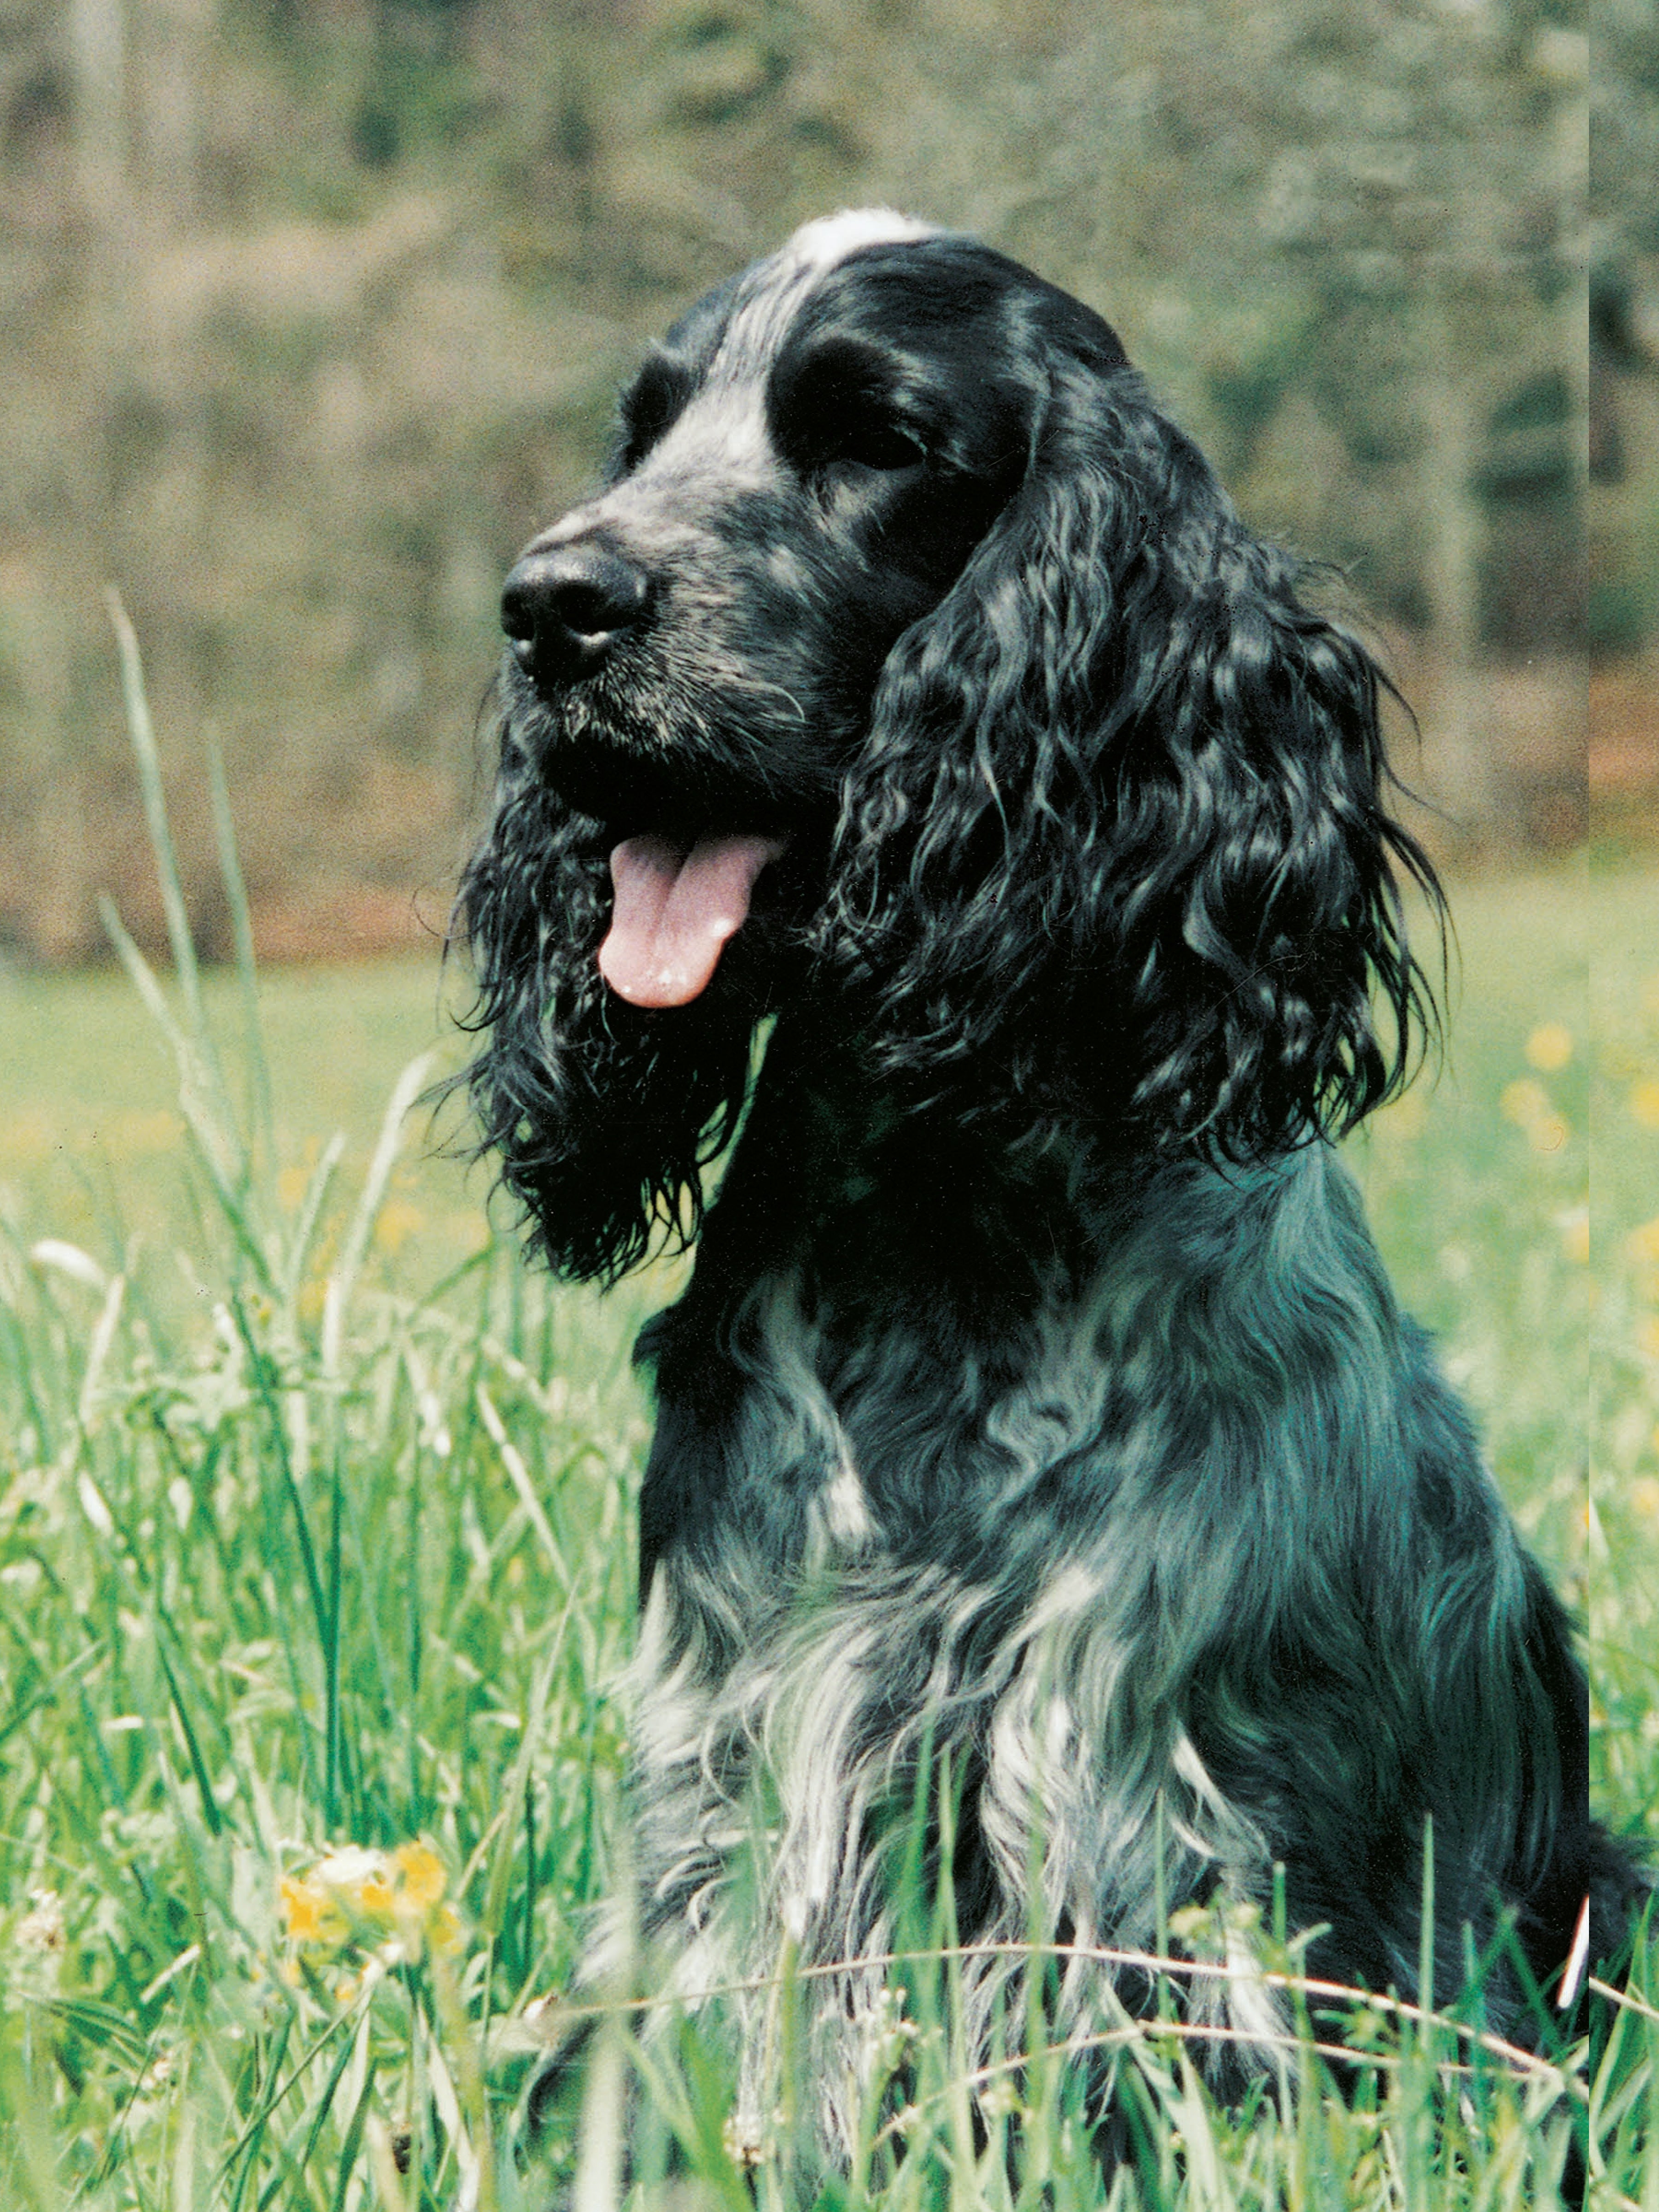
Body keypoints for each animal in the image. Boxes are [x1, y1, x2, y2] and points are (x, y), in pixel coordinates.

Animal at [451, 208, 1636, 2177]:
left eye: (876, 439)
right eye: (641, 434)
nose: (550, 603)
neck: (940, 1222)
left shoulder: (1125, 1781)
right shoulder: (734, 1765)